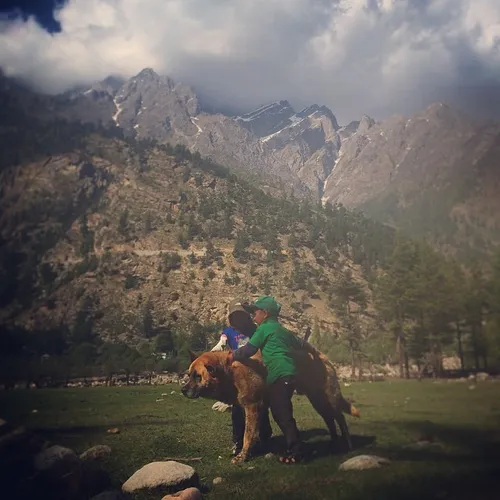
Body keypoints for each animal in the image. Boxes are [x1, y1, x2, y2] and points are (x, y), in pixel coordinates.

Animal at [182, 346, 358, 462]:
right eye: (189, 375)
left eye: (198, 376)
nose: (183, 389)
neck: (229, 373)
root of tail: (322, 355)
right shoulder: (249, 408)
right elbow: (252, 431)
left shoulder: (252, 407)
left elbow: (248, 435)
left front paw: (243, 456)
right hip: (318, 401)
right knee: (330, 419)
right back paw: (334, 443)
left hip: (329, 399)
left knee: (340, 418)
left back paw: (348, 444)